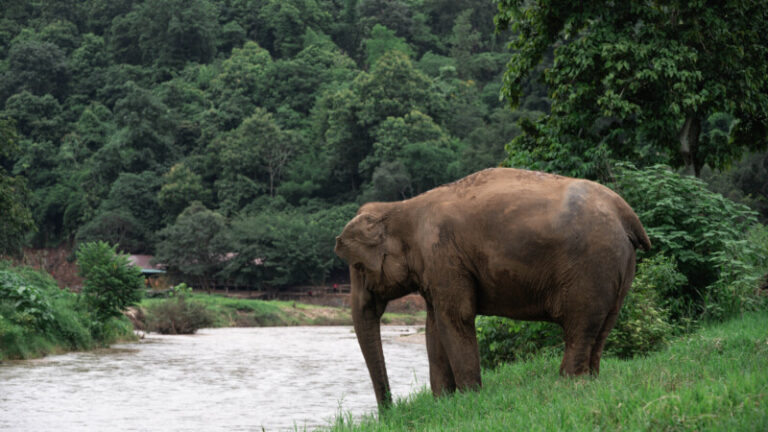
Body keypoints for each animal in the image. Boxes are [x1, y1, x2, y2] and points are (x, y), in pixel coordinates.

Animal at [334, 167, 650, 407]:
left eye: (359, 267)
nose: (389, 411)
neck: (400, 208)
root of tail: (626, 213)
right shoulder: (436, 267)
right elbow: (434, 324)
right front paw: (443, 403)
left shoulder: (443, 255)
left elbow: (456, 318)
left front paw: (468, 399)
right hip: (618, 266)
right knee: (603, 325)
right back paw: (590, 380)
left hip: (591, 266)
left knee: (580, 325)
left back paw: (567, 383)